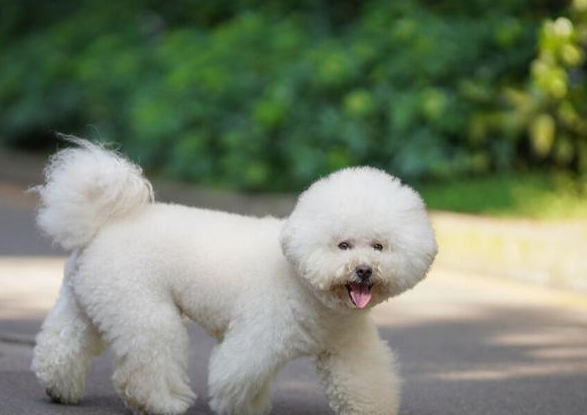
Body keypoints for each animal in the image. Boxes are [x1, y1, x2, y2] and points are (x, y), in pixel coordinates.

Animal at [32, 137, 437, 415]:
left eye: (379, 246)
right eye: (343, 245)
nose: (364, 270)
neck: (305, 284)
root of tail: (103, 225)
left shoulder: (348, 346)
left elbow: (365, 379)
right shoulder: (258, 339)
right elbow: (238, 375)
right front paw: (241, 407)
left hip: (86, 301)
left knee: (63, 343)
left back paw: (59, 389)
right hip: (141, 308)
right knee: (148, 360)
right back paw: (163, 402)